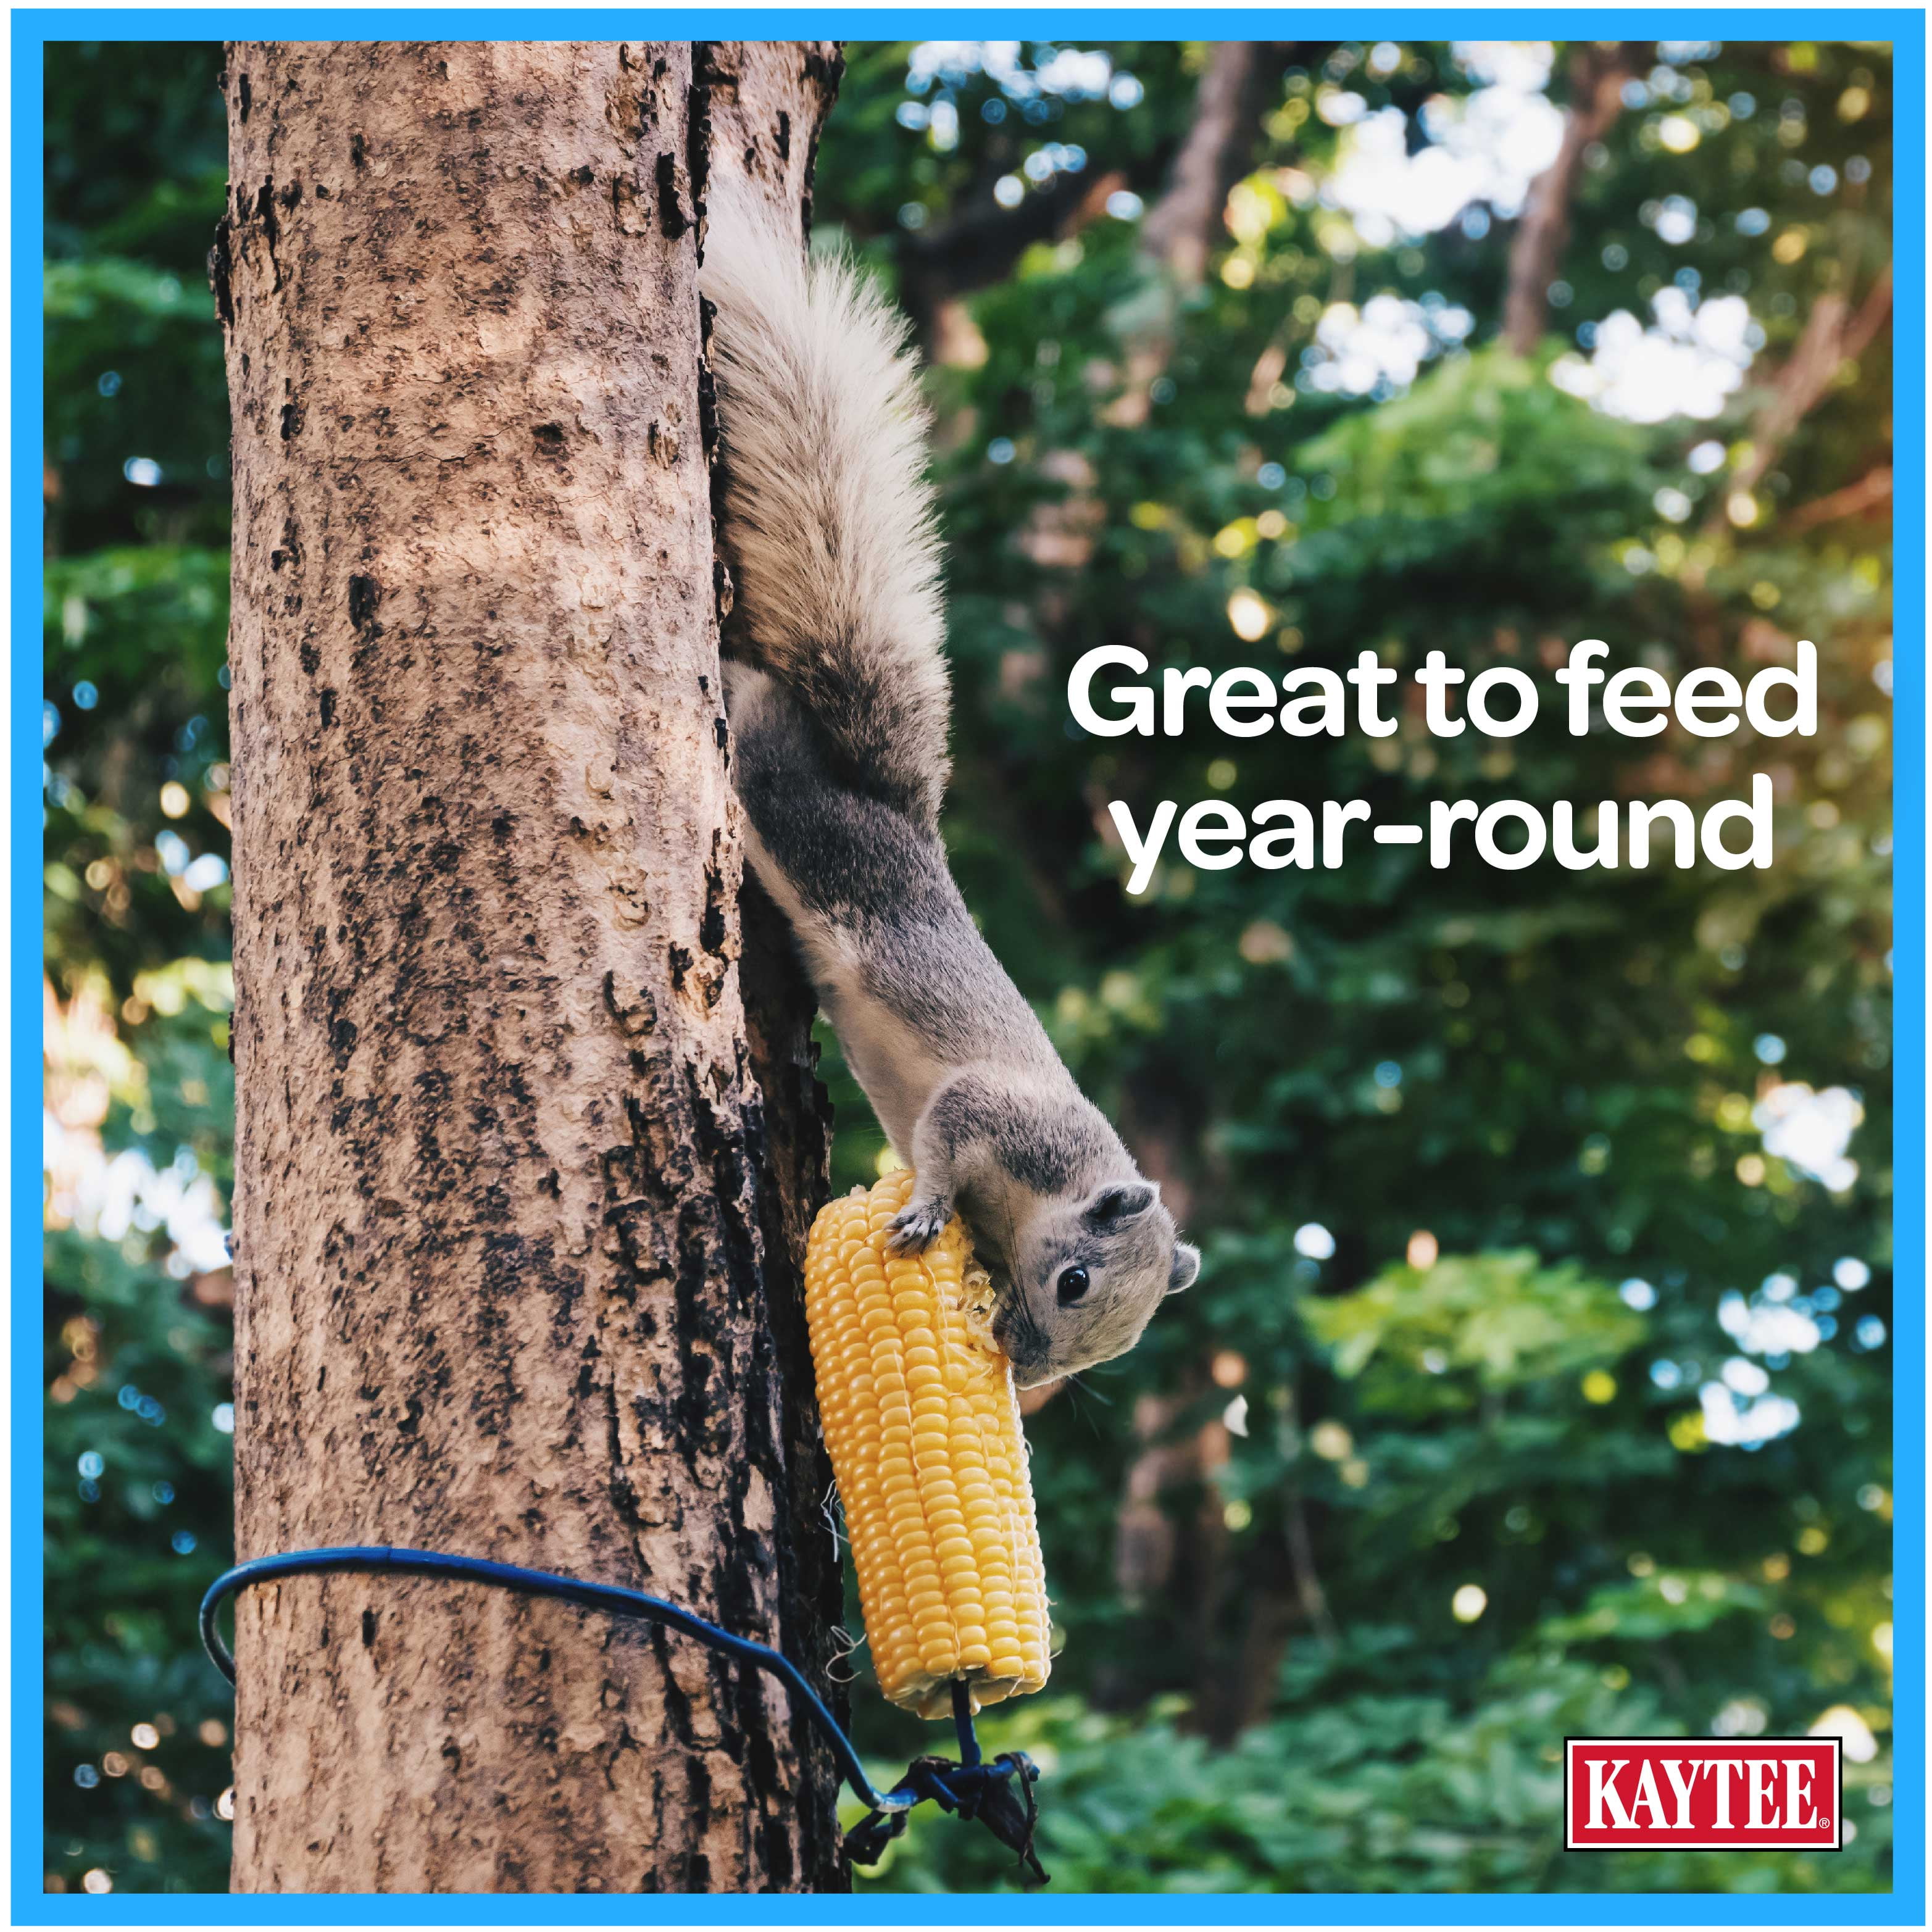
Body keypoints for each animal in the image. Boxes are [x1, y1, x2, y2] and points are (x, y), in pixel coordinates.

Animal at [701, 189, 1199, 1389]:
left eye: (1106, 1351)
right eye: (1074, 1281)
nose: (1025, 1364)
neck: (1040, 1198)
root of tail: (904, 821)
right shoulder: (995, 1115)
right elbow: (937, 1143)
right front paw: (925, 1208)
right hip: (802, 819)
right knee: (766, 745)